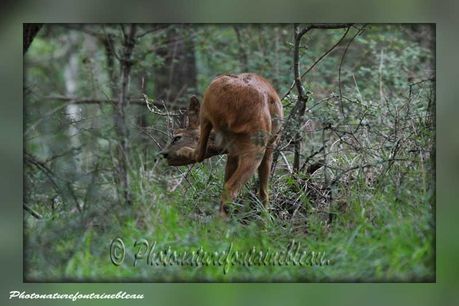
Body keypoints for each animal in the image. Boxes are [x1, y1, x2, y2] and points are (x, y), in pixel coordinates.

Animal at [162, 73, 284, 218]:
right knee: (232, 186)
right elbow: (264, 190)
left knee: (207, 162)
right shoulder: (267, 145)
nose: (164, 154)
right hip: (256, 141)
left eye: (177, 137)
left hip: (209, 110)